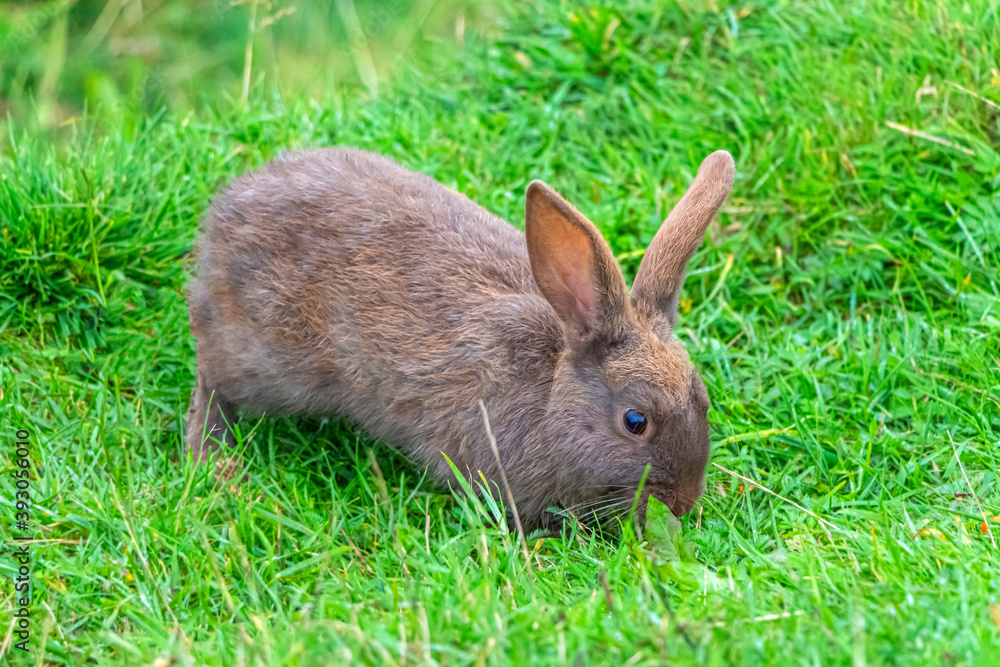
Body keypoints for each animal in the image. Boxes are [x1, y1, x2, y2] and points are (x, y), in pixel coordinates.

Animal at [188, 147, 736, 532]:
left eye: (703, 400)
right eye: (635, 421)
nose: (684, 502)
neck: (552, 401)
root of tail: (222, 215)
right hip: (264, 362)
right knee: (212, 380)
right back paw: (213, 462)